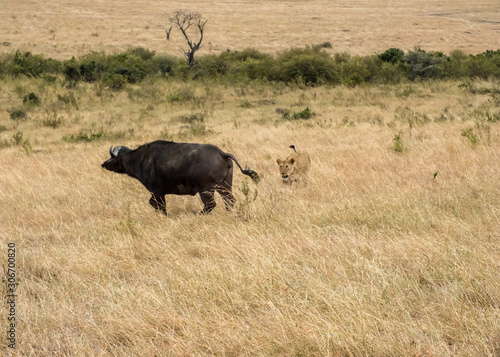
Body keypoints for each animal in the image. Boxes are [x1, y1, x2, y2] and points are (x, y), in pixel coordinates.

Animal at [100, 140, 260, 214]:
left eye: (113, 158)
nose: (103, 164)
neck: (141, 159)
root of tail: (222, 153)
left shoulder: (156, 191)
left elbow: (159, 205)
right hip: (225, 186)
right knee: (230, 201)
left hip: (206, 189)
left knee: (211, 204)